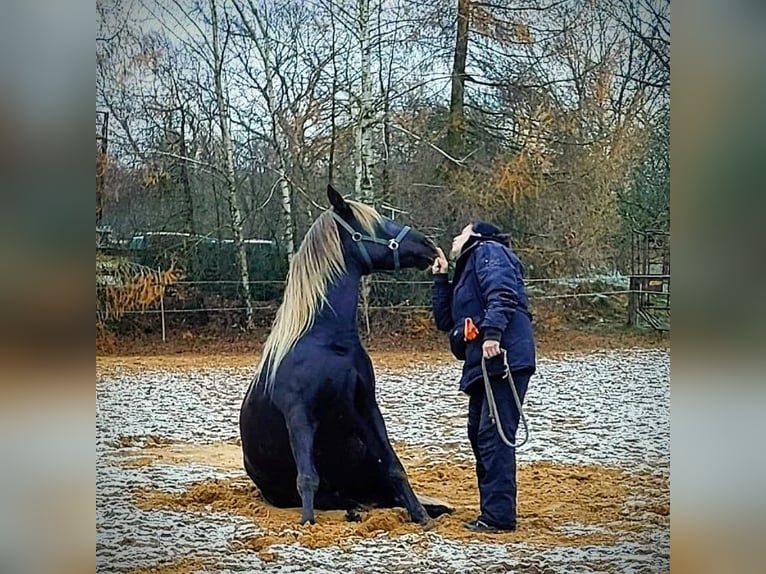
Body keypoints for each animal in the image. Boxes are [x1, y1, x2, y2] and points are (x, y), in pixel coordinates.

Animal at [239, 184, 441, 526]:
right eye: (376, 224)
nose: (427, 245)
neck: (329, 343)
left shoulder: (366, 407)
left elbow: (394, 467)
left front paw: (420, 515)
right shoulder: (299, 414)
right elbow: (307, 477)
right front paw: (308, 524)